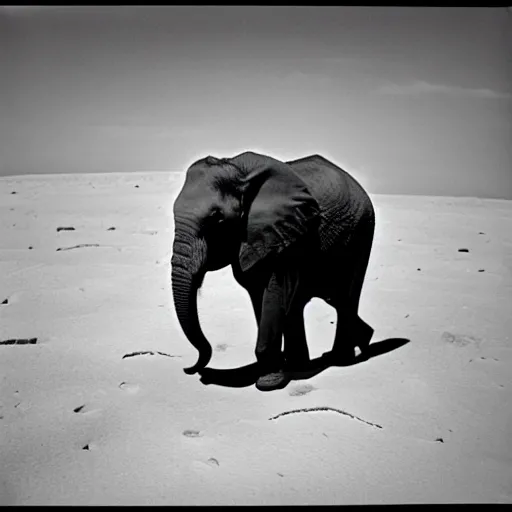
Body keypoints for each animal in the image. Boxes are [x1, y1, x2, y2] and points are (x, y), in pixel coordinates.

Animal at [170, 152, 374, 392]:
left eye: (217, 218)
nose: (189, 369)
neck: (238, 172)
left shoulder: (282, 235)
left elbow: (274, 294)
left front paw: (268, 383)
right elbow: (260, 295)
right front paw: (277, 373)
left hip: (362, 231)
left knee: (345, 296)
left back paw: (340, 359)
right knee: (323, 299)